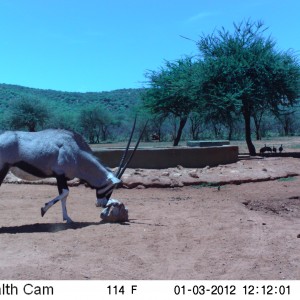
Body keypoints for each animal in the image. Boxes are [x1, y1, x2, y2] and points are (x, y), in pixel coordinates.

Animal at [0, 119, 145, 223]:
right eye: (111, 187)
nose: (102, 204)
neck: (75, 151)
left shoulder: (61, 177)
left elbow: (64, 196)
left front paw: (67, 218)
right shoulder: (59, 174)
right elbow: (65, 193)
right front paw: (43, 209)